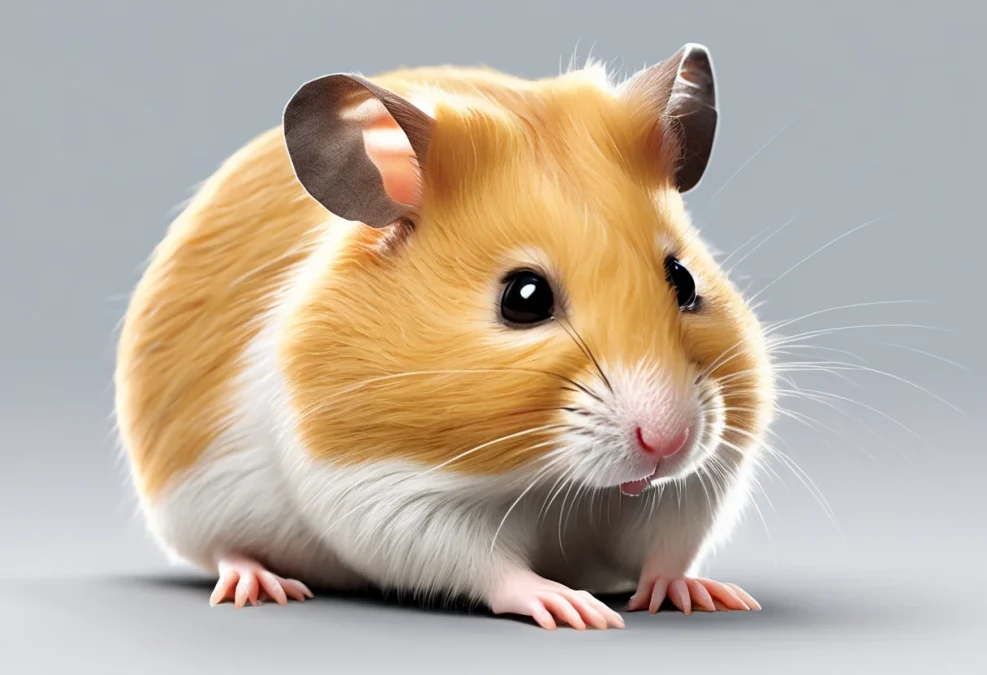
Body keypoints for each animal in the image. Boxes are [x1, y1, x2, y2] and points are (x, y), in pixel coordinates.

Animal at [114, 42, 774, 630]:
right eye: (524, 298)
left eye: (683, 278)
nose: (668, 442)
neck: (555, 481)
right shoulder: (375, 491)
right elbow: (481, 563)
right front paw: (575, 608)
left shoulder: (700, 481)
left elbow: (669, 545)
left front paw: (702, 595)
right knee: (222, 550)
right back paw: (259, 585)